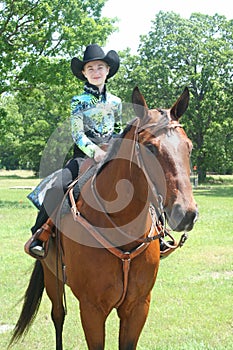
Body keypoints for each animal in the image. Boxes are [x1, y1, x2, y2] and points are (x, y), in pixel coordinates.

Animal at [10, 86, 198, 348]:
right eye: (150, 147)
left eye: (188, 147)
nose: (186, 213)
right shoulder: (92, 309)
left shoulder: (138, 307)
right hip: (51, 276)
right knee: (58, 316)